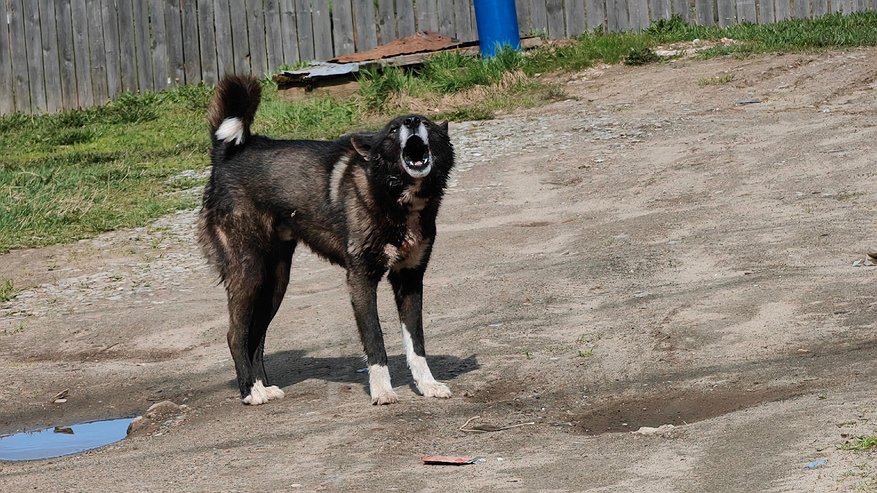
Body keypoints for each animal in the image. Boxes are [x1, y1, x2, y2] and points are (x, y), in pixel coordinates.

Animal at [198, 75, 456, 406]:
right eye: (393, 129)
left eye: (425, 122)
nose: (412, 121)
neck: (392, 196)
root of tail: (225, 154)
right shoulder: (361, 279)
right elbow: (375, 342)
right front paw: (382, 391)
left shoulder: (409, 279)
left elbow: (417, 343)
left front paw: (427, 385)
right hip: (249, 272)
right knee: (236, 335)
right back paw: (251, 391)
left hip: (275, 281)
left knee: (255, 336)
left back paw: (263, 385)